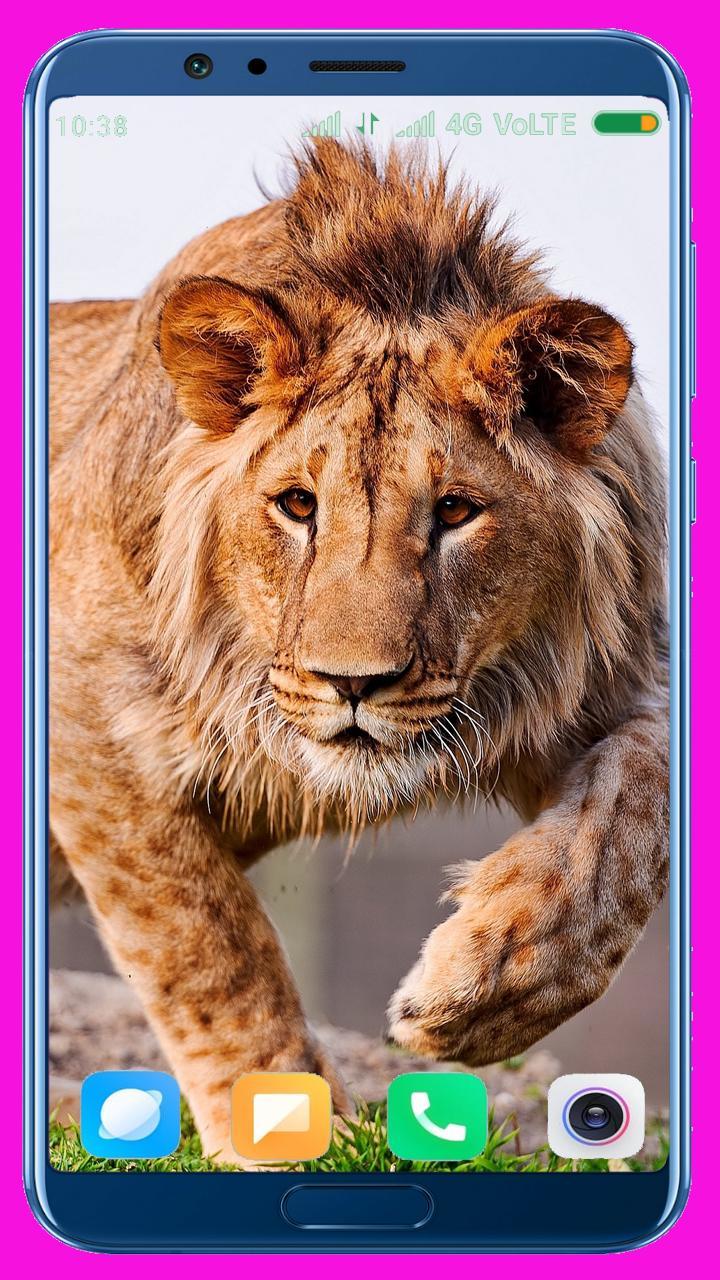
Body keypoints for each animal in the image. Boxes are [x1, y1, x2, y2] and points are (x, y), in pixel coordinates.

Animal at [49, 139, 668, 1162]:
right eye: (298, 505)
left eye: (455, 511)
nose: (354, 684)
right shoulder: (87, 735)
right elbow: (209, 946)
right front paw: (281, 1124)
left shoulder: (588, 683)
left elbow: (632, 820)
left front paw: (487, 991)